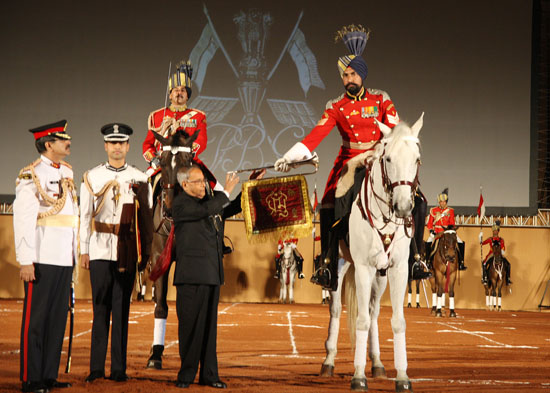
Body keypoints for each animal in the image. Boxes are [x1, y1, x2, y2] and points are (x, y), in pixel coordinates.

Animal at [324, 112, 422, 390]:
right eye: (388, 159)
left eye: (416, 159)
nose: (403, 206)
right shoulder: (363, 268)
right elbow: (360, 320)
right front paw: (358, 376)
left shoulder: (398, 269)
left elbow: (397, 321)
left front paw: (402, 377)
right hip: (341, 266)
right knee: (336, 309)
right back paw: (329, 361)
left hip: (380, 276)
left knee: (373, 311)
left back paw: (377, 362)